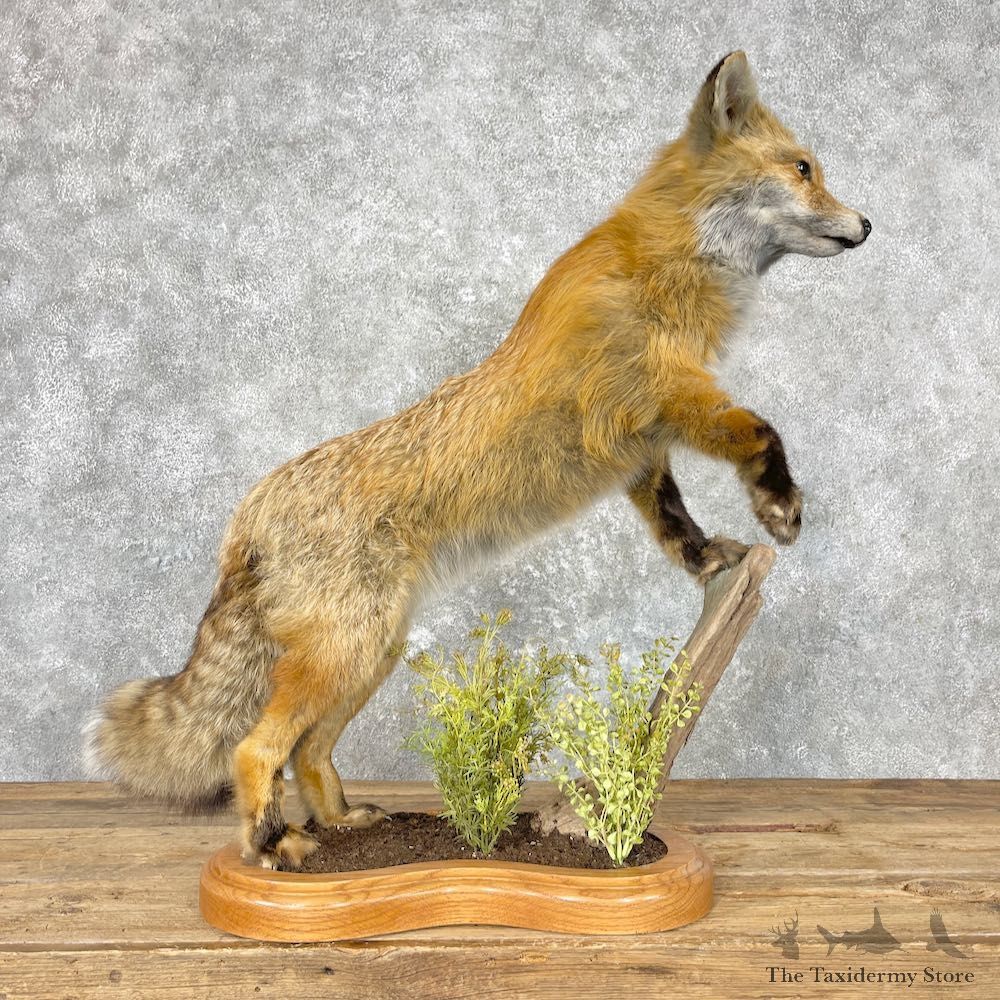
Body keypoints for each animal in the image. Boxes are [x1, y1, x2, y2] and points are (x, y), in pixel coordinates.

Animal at [84, 51, 869, 870]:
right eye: (805, 168)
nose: (868, 224)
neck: (668, 264)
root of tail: (249, 511)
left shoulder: (640, 445)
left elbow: (673, 521)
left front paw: (710, 557)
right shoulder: (662, 392)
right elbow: (761, 432)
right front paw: (779, 506)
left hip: (369, 653)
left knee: (308, 751)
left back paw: (339, 822)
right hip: (344, 652)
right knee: (255, 749)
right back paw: (271, 845)